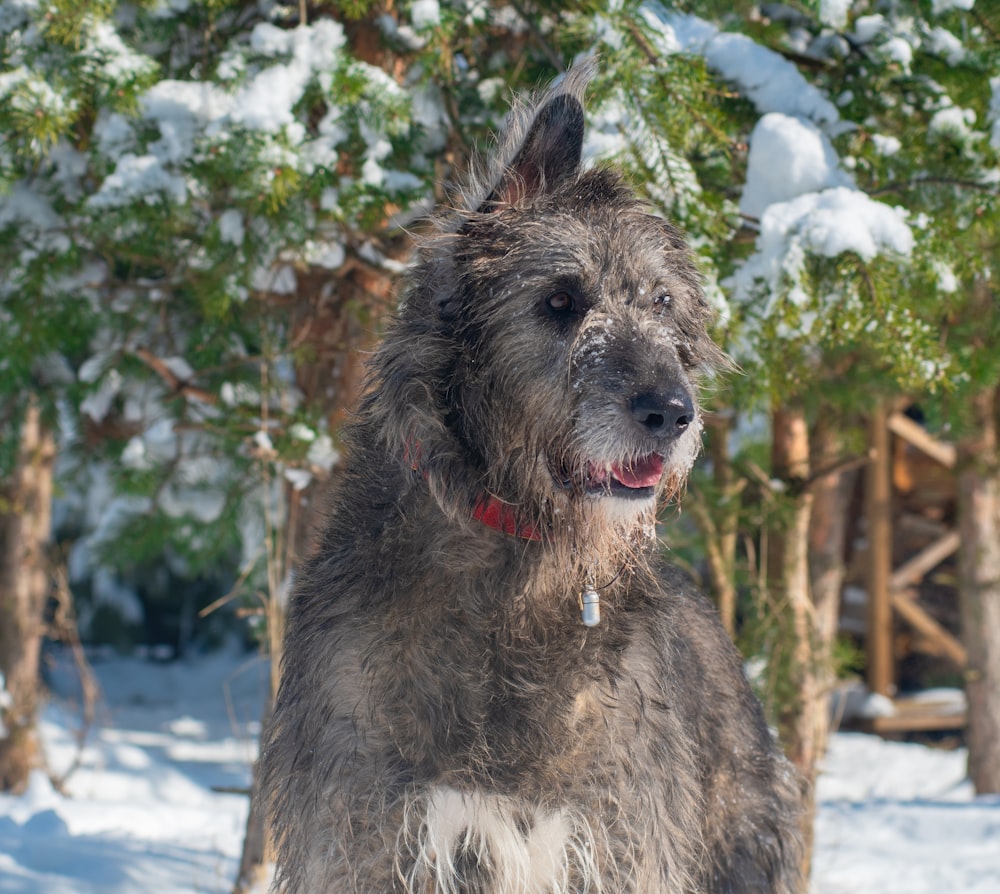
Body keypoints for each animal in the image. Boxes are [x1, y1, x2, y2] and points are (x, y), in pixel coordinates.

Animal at [260, 65, 804, 894]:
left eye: (662, 302)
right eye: (559, 301)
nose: (673, 413)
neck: (514, 576)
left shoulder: (614, 840)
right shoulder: (366, 836)